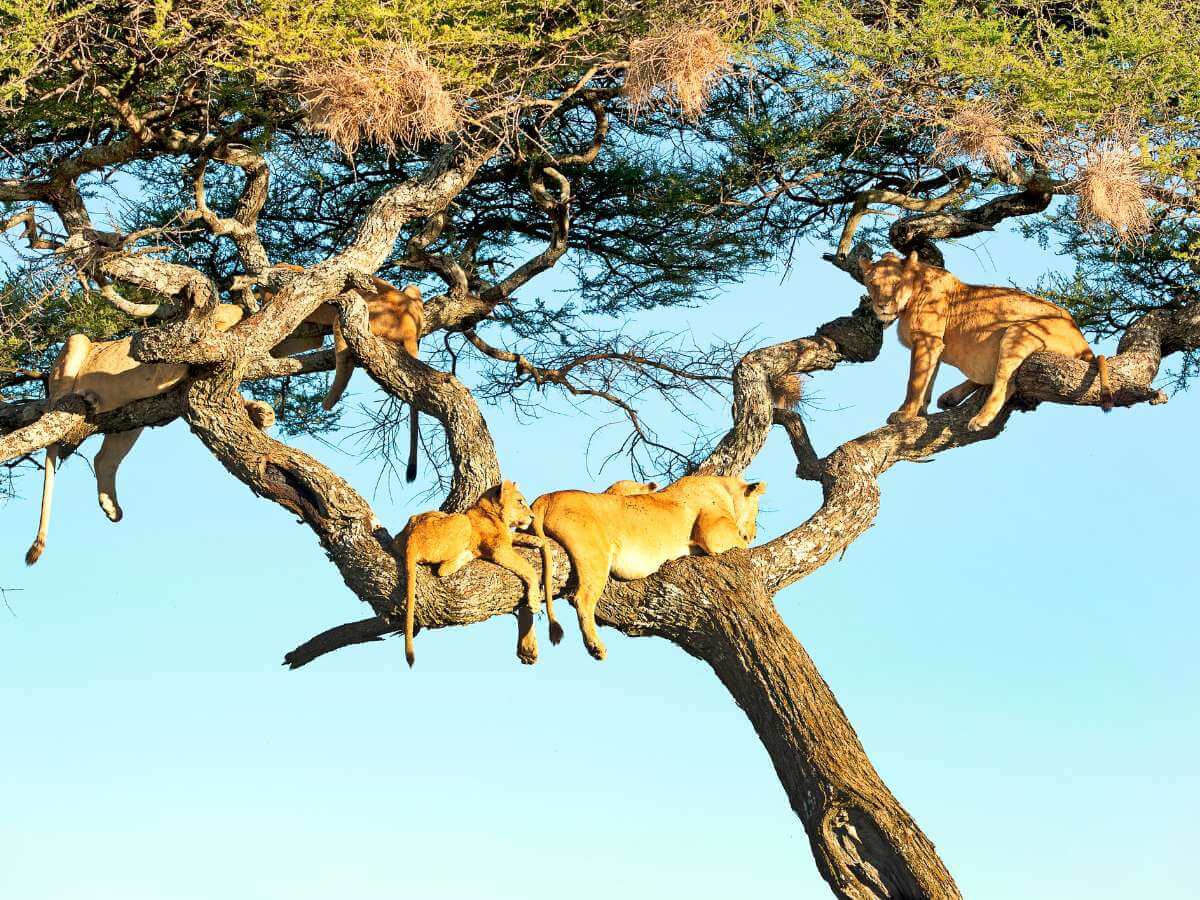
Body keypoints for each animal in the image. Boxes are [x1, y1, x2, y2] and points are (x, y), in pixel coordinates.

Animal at [26, 304, 274, 565]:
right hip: (77, 342)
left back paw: (111, 506)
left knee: (104, 459)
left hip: (129, 423)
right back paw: (86, 398)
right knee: (56, 410)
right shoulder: (164, 366)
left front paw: (260, 413)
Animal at [393, 480, 546, 666]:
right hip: (462, 520)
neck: (494, 514)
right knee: (443, 569)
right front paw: (534, 602)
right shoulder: (498, 549)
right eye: (520, 501)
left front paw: (535, 540)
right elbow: (528, 568)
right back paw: (469, 554)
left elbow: (514, 535)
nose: (532, 517)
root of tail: (411, 538)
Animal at [528, 475, 765, 660]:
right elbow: (739, 543)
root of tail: (546, 497)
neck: (724, 489)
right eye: (757, 512)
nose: (755, 535)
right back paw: (596, 646)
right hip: (595, 554)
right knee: (583, 598)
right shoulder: (712, 531)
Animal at [861, 250, 1112, 431]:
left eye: (896, 284)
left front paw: (904, 414)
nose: (882, 305)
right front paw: (920, 411)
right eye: (873, 284)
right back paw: (950, 397)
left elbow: (915, 381)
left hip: (1017, 331)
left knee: (1004, 385)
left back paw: (980, 419)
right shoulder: (935, 344)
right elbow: (928, 381)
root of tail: (1083, 340)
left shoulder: (927, 339)